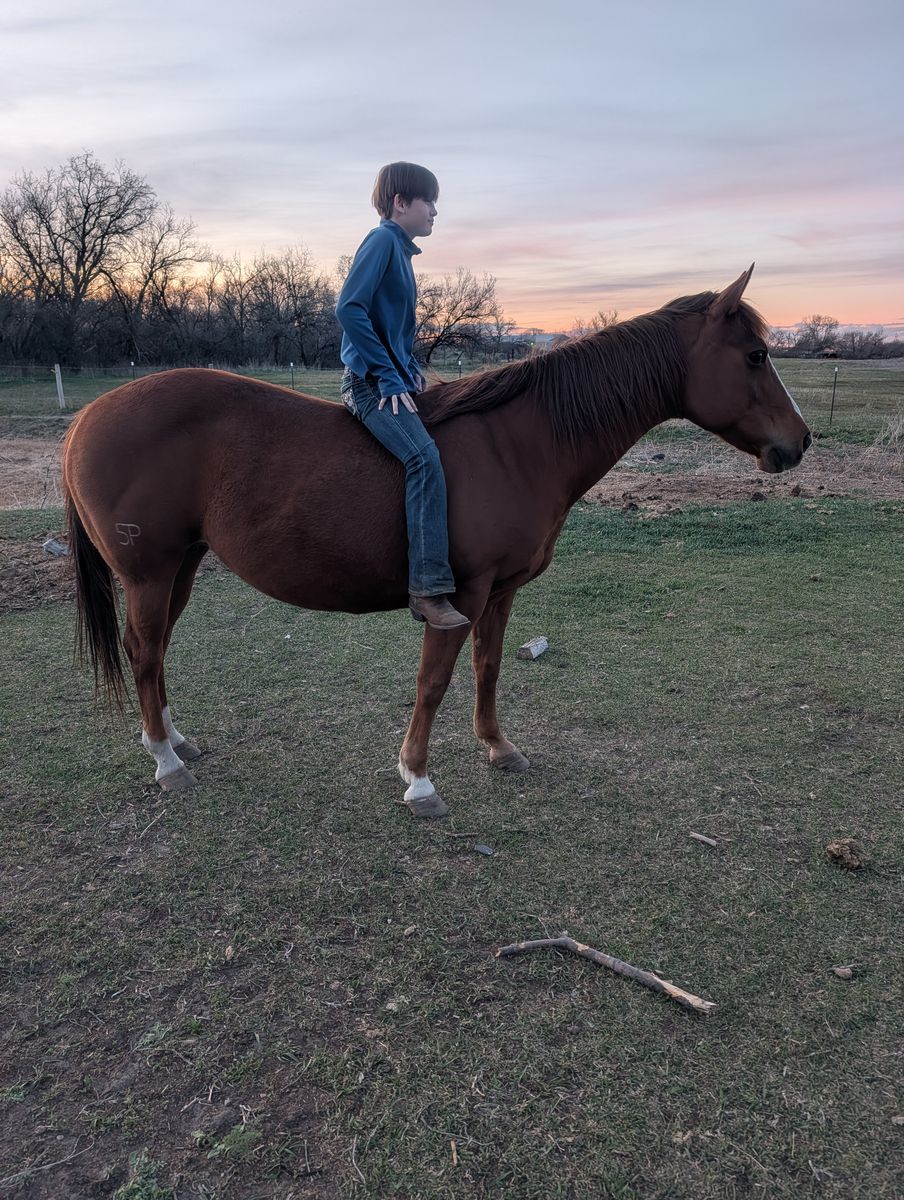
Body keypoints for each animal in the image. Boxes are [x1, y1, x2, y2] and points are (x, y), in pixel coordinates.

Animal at [62, 265, 810, 816]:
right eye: (756, 355)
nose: (800, 442)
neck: (519, 443)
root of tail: (89, 416)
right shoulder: (462, 594)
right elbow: (433, 680)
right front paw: (418, 779)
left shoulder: (501, 592)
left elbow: (488, 668)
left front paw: (499, 749)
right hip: (150, 573)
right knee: (143, 652)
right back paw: (164, 762)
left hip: (181, 568)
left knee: (154, 651)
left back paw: (174, 742)